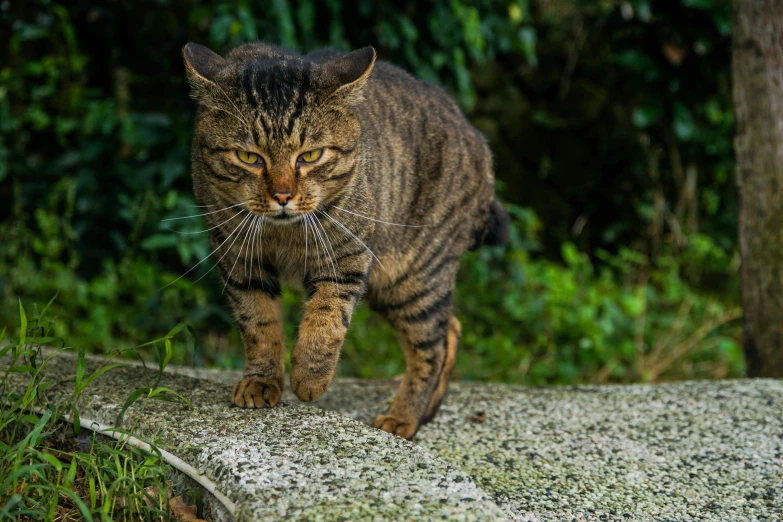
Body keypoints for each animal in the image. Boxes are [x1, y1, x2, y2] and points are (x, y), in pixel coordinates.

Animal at [182, 41, 508, 438]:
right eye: (249, 157)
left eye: (310, 155)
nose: (282, 195)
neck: (284, 233)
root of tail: (480, 145)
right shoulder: (239, 259)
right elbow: (258, 323)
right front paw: (262, 382)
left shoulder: (346, 256)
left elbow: (326, 319)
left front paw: (310, 378)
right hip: (390, 286)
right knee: (451, 329)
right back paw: (426, 412)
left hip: (413, 276)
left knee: (431, 345)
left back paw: (404, 418)